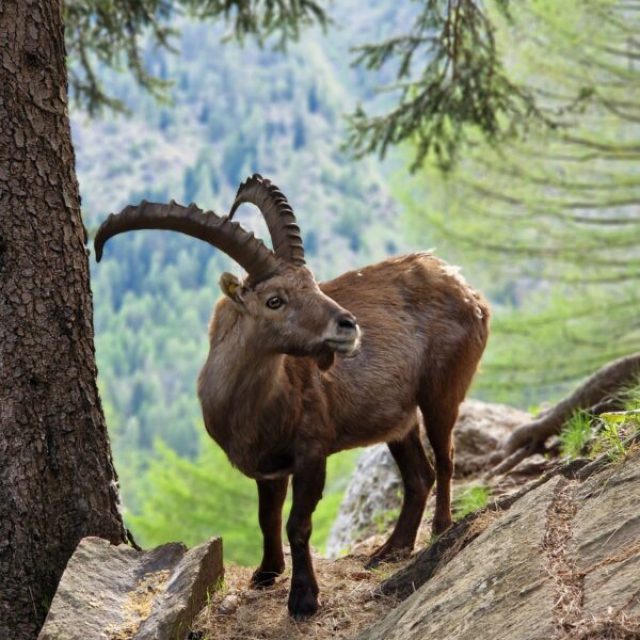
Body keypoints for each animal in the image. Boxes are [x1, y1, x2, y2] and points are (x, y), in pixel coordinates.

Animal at [94, 174, 490, 619]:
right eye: (275, 300)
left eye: (315, 285)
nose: (348, 325)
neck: (253, 406)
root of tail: (468, 290)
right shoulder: (268, 467)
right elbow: (266, 518)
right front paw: (266, 574)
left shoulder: (311, 453)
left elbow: (296, 524)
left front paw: (303, 598)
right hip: (397, 419)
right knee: (418, 476)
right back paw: (390, 550)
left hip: (442, 391)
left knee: (446, 457)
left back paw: (440, 529)